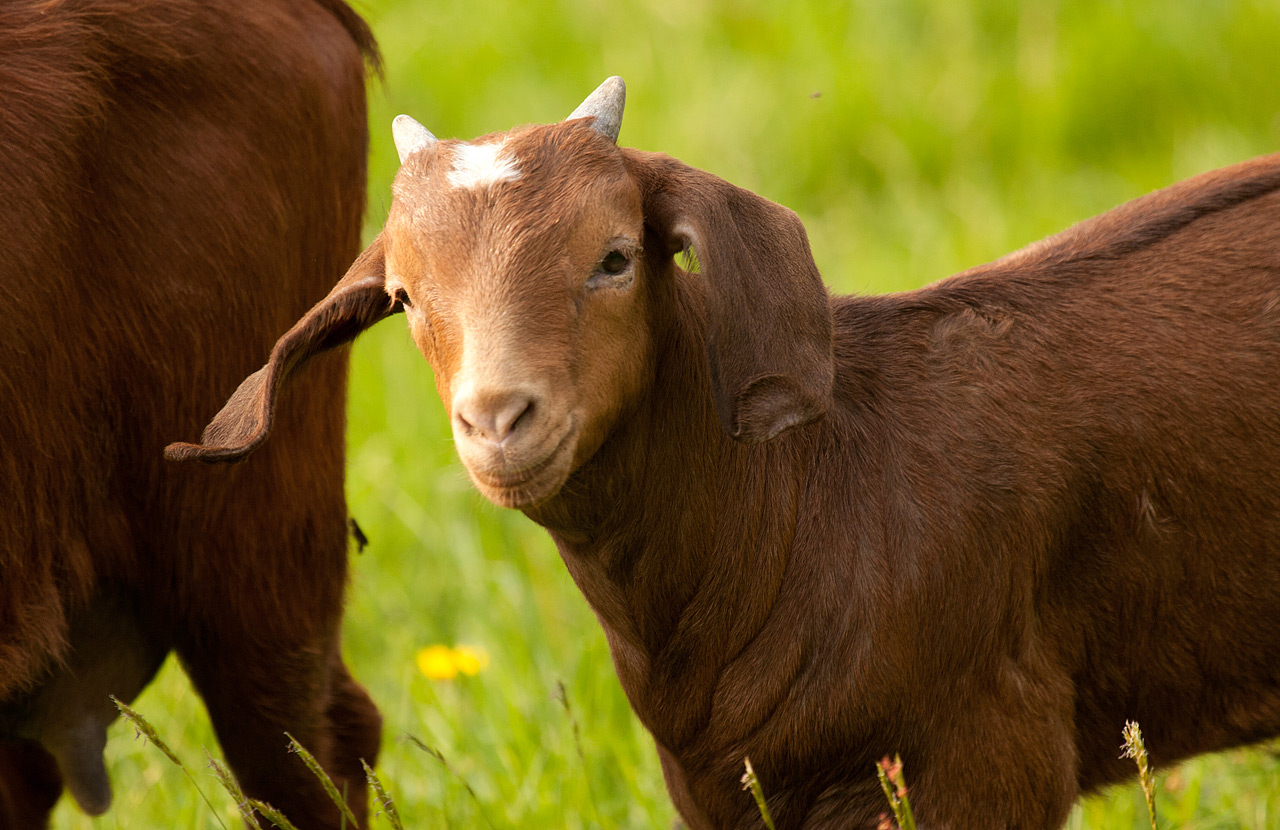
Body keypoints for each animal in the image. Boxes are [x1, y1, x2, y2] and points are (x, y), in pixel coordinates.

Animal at [171, 77, 1280, 829]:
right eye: (402, 297)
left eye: (616, 257)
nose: (497, 419)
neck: (811, 493)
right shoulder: (726, 789)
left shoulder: (984, 758)